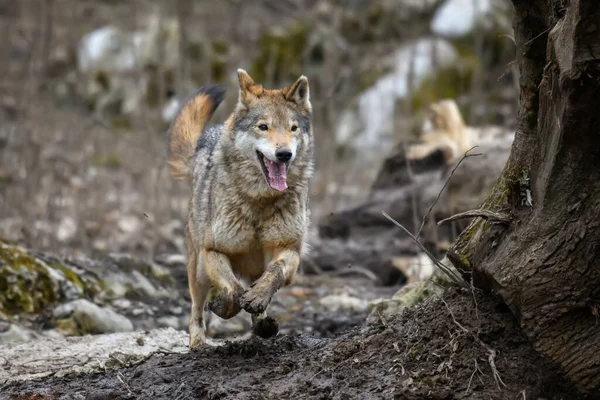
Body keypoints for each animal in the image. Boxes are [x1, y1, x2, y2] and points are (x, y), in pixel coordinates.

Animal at [165, 68, 314, 346]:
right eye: (263, 127)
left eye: (293, 128)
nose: (284, 154)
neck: (259, 202)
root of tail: (206, 139)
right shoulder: (214, 251)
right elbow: (233, 292)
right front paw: (223, 306)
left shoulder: (289, 249)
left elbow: (274, 273)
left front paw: (257, 302)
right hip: (197, 271)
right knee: (195, 313)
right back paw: (198, 345)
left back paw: (263, 324)